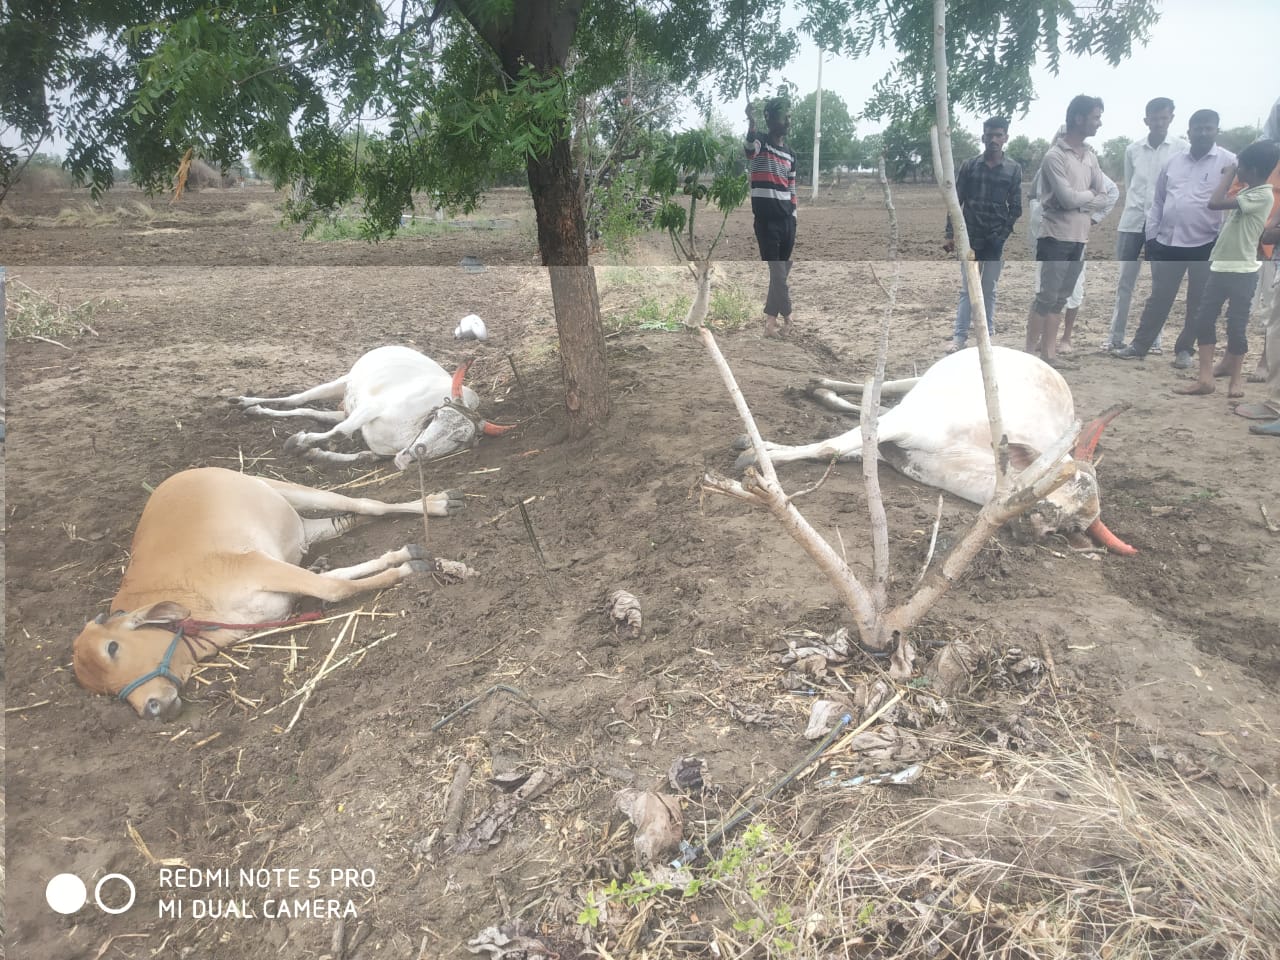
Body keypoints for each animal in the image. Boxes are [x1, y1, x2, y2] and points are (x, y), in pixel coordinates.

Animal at [72, 471, 463, 716]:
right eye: (103, 692)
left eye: (112, 648)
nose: (153, 708)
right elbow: (333, 578)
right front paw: (405, 557)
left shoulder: (253, 563)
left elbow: (335, 586)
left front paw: (411, 564)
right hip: (303, 527)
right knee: (347, 519)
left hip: (280, 487)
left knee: (366, 503)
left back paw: (438, 503)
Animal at [238, 345, 517, 471]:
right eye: (436, 415)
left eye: (460, 440)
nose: (412, 454)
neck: (408, 429)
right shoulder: (371, 407)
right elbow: (341, 431)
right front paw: (298, 442)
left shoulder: (380, 450)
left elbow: (363, 455)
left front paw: (314, 451)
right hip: (342, 382)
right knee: (297, 399)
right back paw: (246, 402)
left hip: (344, 407)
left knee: (309, 411)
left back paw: (256, 410)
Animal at [737, 348, 1136, 555]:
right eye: (1060, 479)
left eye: (1074, 527)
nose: (1035, 526)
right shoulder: (909, 422)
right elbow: (830, 445)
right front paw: (757, 454)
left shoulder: (890, 449)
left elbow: (842, 447)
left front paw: (760, 449)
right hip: (925, 381)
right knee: (883, 386)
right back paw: (819, 383)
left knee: (871, 404)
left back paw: (821, 391)